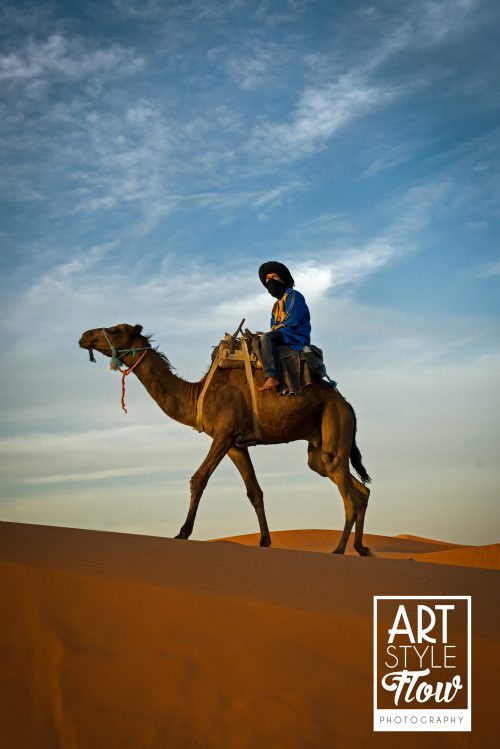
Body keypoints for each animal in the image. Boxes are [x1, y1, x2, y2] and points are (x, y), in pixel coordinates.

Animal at [79, 323, 372, 555]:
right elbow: (254, 491)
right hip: (319, 446)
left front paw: (182, 533)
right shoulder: (235, 445)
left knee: (349, 494)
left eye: (116, 330)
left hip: (334, 423)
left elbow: (198, 479)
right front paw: (265, 541)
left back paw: (340, 549)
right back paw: (361, 547)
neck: (196, 395)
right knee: (357, 487)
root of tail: (348, 405)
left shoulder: (223, 433)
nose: (84, 335)